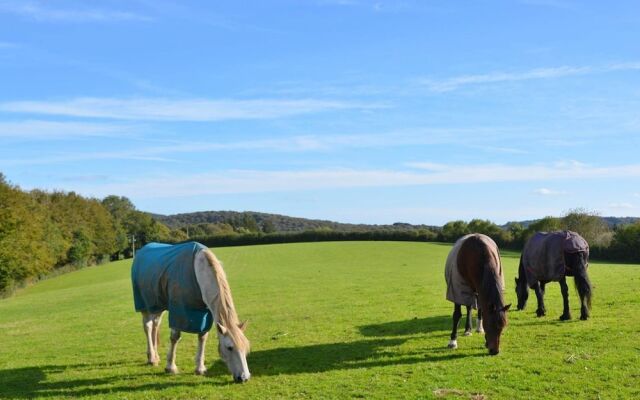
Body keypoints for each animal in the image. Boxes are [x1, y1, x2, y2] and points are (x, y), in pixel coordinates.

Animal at [131, 242, 251, 382]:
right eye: (229, 348)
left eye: (246, 347)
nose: (244, 377)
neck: (198, 270)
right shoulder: (178, 310)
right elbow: (175, 337)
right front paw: (170, 367)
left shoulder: (205, 314)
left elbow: (202, 337)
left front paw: (200, 368)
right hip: (145, 305)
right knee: (148, 327)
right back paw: (151, 358)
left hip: (158, 304)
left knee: (156, 325)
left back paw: (156, 356)